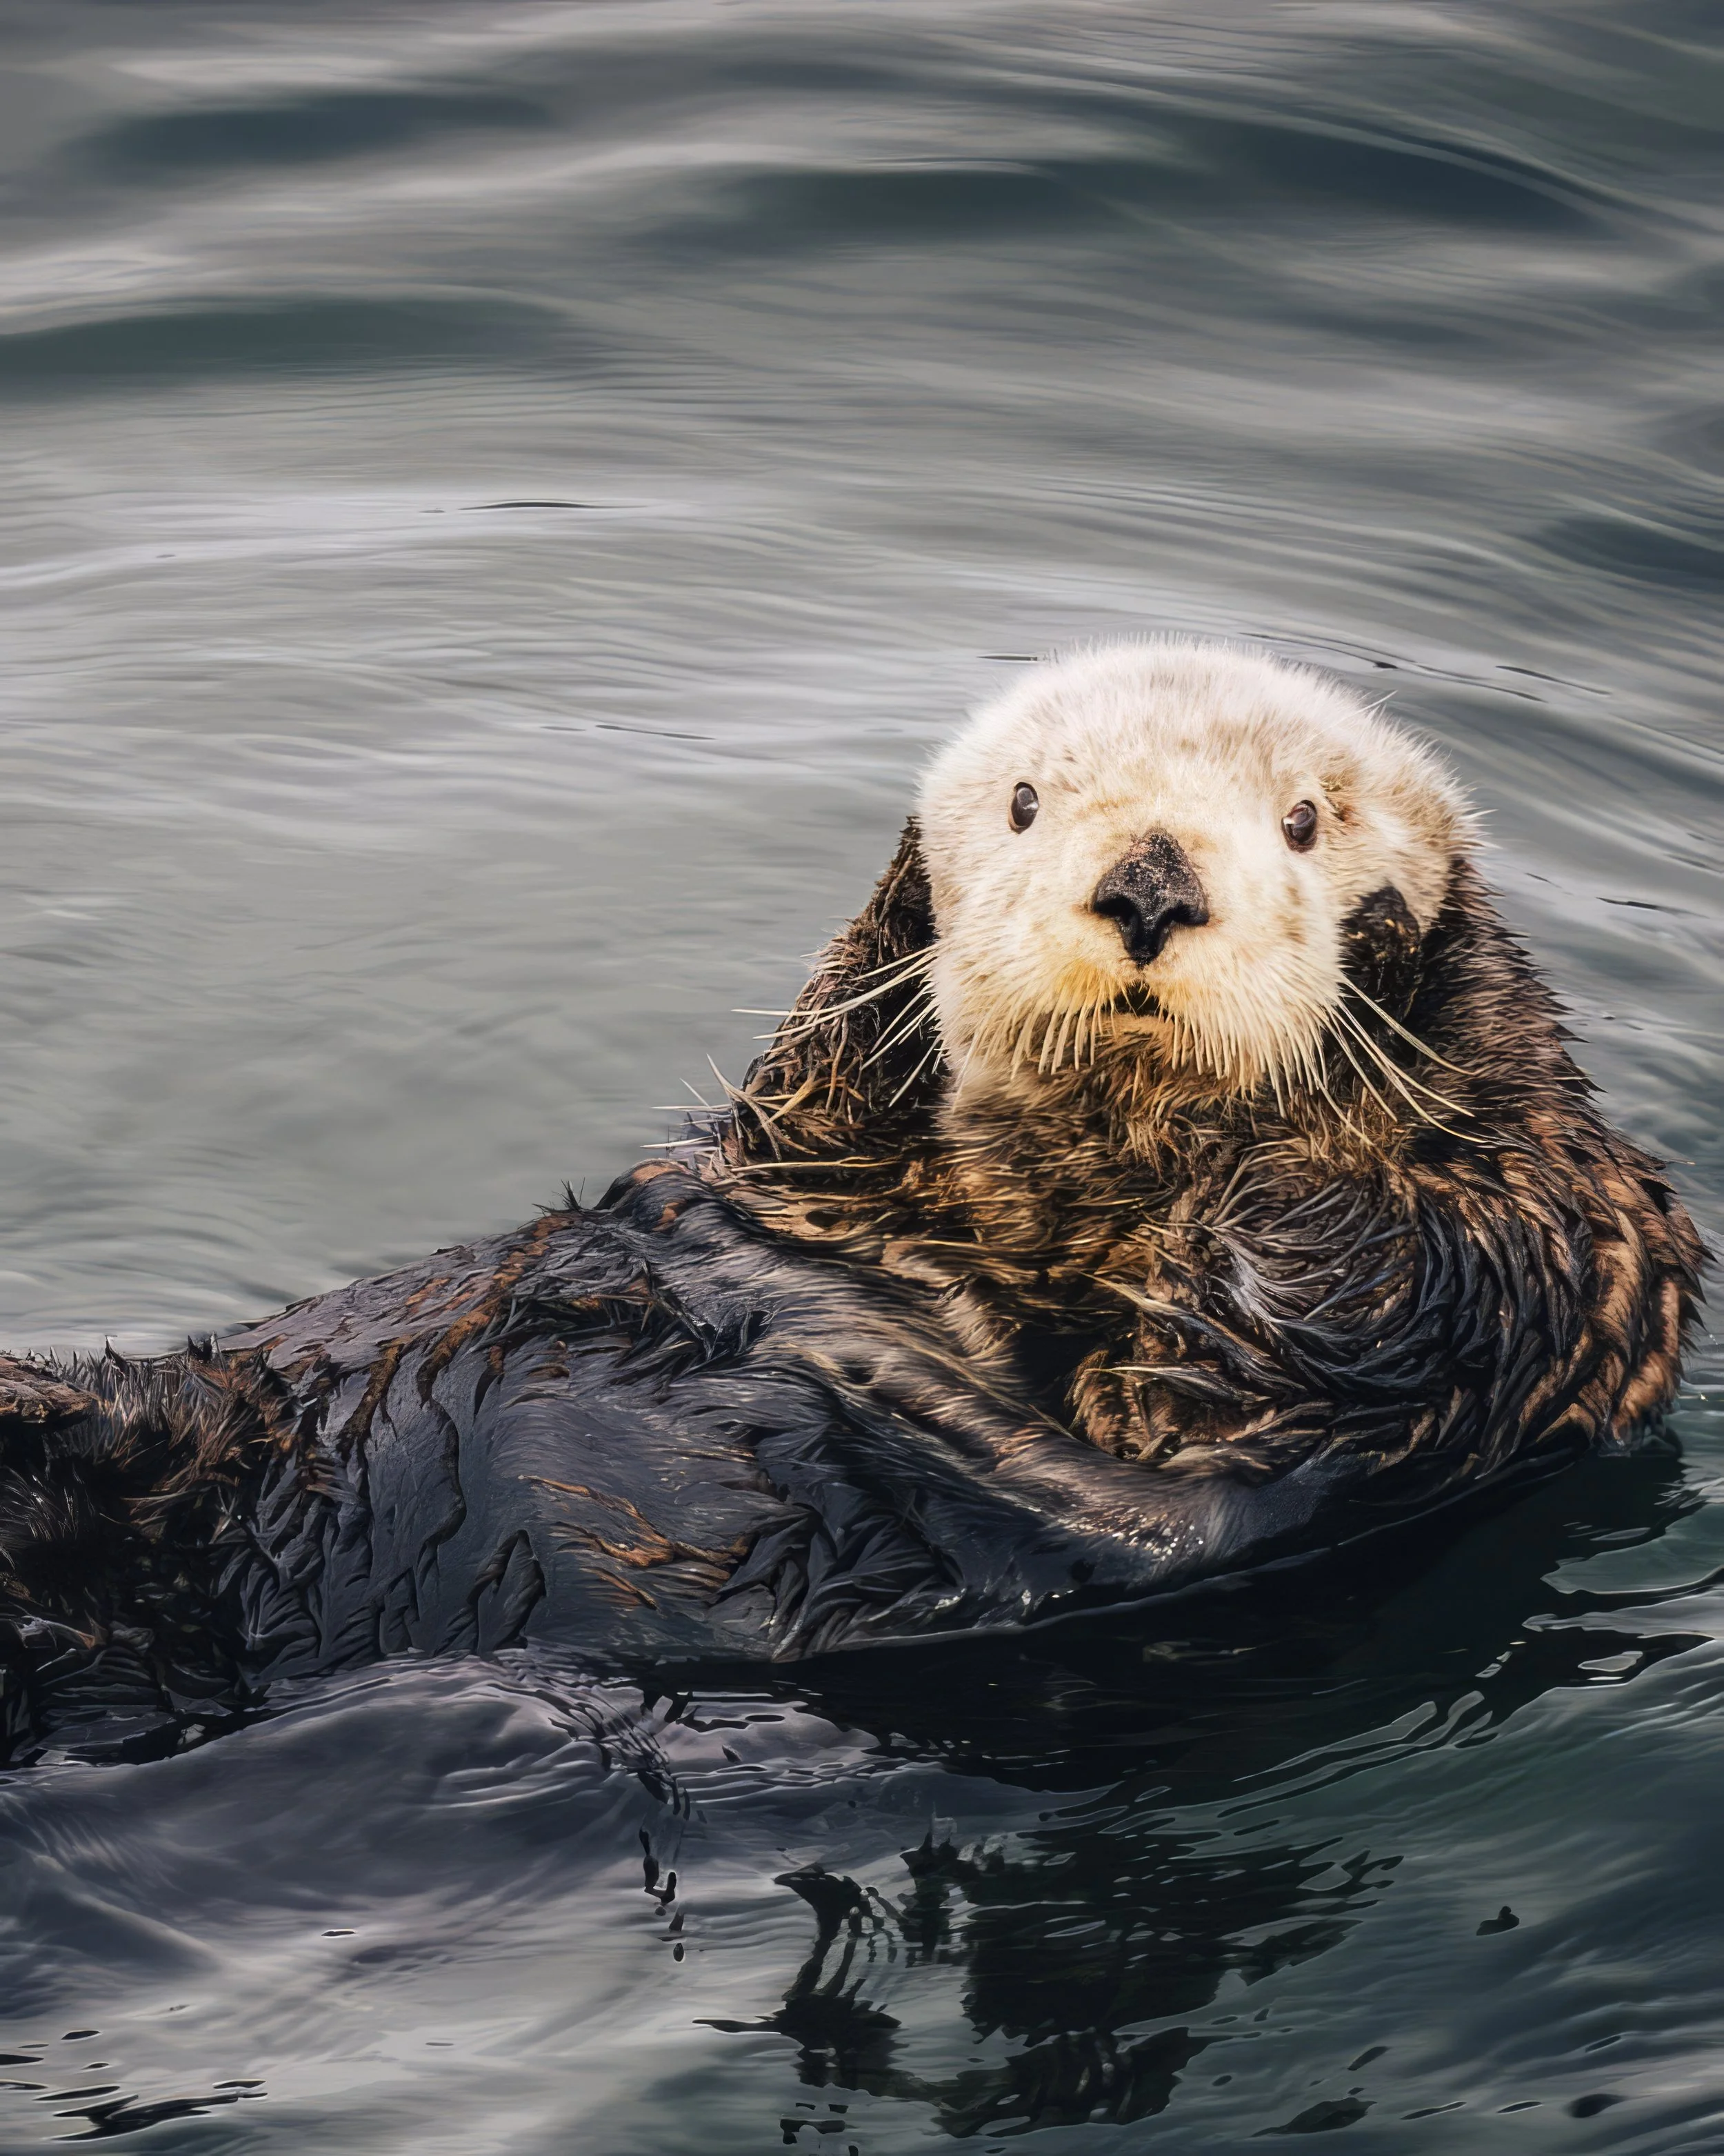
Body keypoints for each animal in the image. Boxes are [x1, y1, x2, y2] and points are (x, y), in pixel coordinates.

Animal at [0, 642, 1702, 1761]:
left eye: (1303, 821)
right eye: (1024, 804)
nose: (1151, 883)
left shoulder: (1551, 1265)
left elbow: (1399, 1287)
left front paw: (1387, 975)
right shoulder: (811, 1182)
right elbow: (804, 1107)